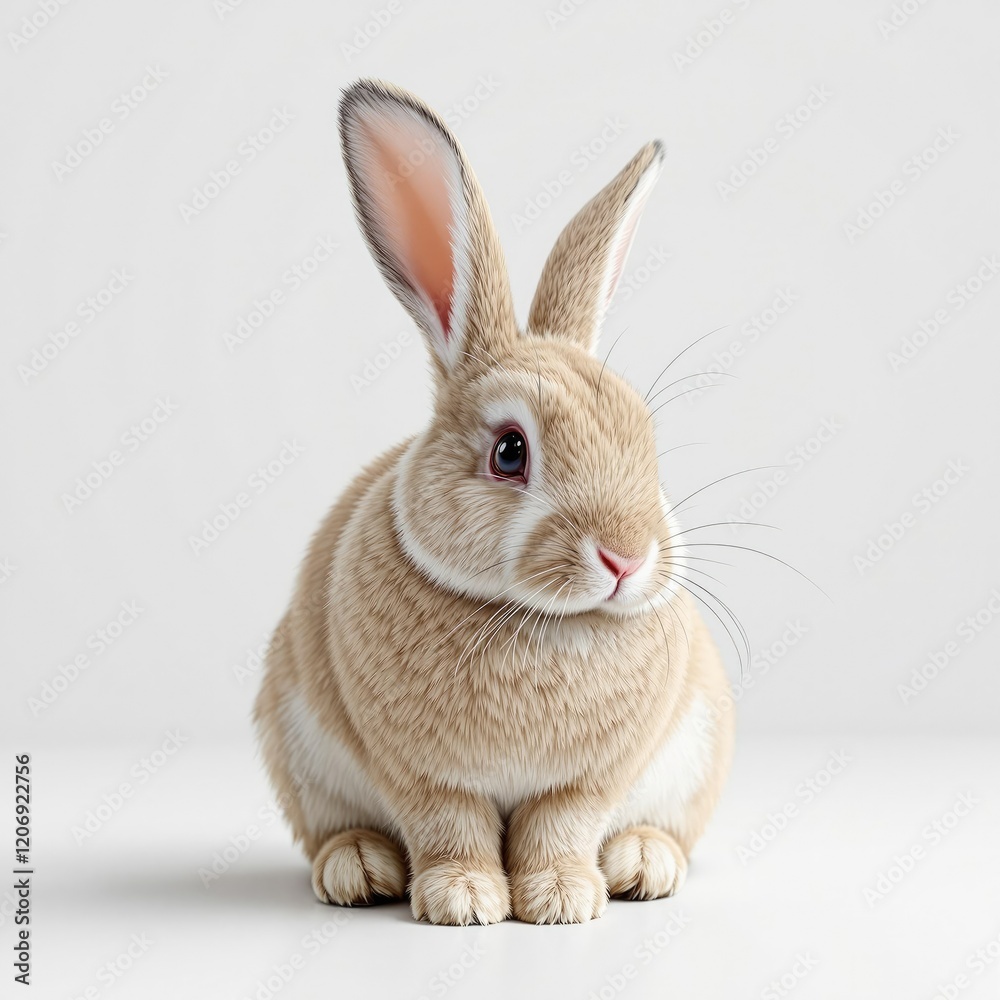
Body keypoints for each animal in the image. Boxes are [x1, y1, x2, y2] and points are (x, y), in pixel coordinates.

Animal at [254, 79, 734, 925]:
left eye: (643, 436)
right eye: (510, 451)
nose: (626, 557)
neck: (541, 619)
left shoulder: (587, 781)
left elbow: (559, 826)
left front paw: (561, 899)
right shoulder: (425, 775)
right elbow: (450, 826)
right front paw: (466, 899)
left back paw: (643, 864)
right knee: (333, 831)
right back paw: (358, 868)